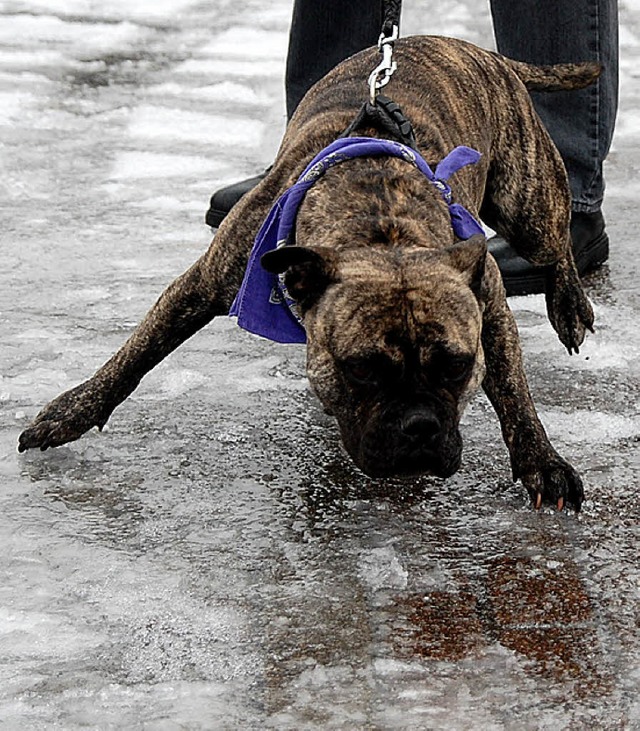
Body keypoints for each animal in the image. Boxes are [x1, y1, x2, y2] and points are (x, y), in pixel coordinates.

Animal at [18, 38, 600, 508]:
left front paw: (543, 462)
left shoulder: (488, 303)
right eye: (361, 368)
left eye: (457, 367)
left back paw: (569, 306)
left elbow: (513, 390)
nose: (419, 427)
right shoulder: (202, 284)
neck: (379, 223)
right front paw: (70, 411)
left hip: (526, 201)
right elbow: (137, 352)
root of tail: (475, 49)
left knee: (557, 243)